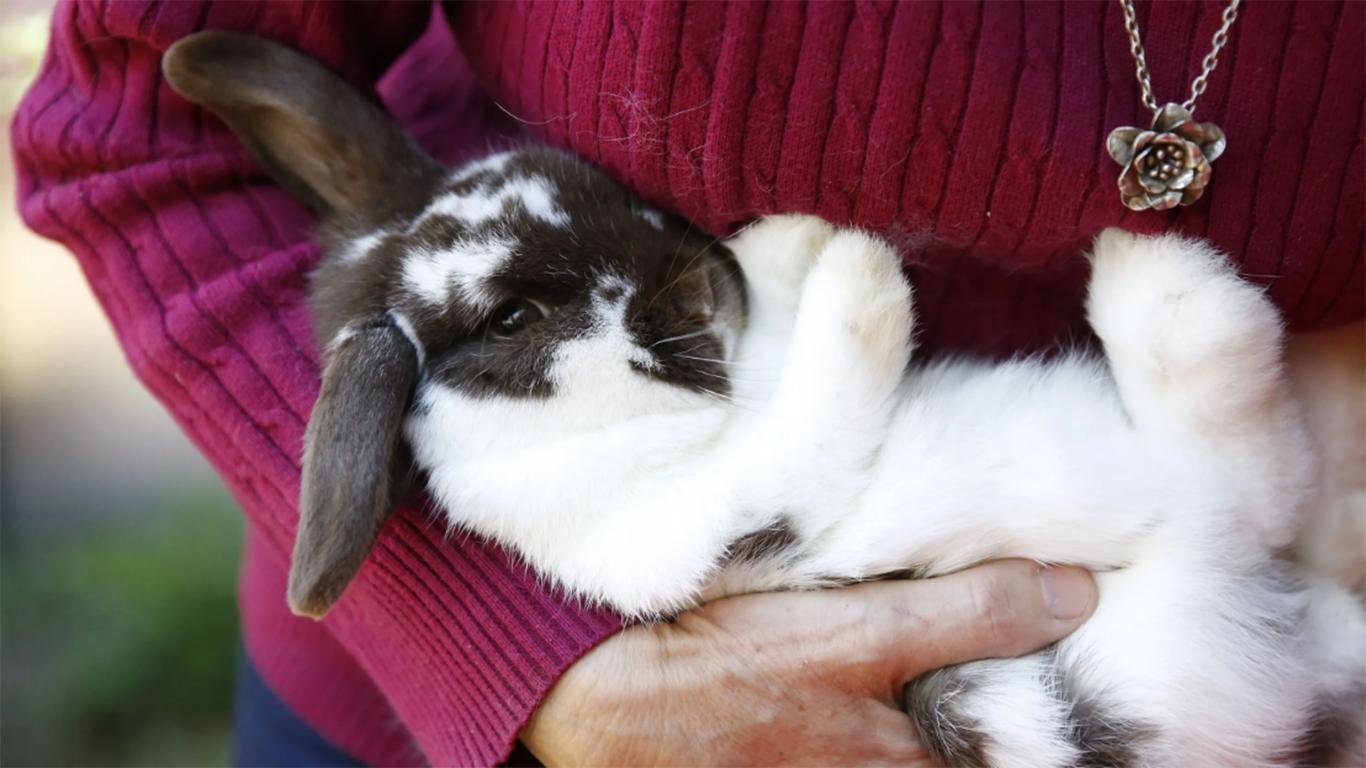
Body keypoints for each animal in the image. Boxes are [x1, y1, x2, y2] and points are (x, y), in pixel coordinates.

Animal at [163, 32, 1363, 768]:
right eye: (509, 319)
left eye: (595, 188)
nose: (699, 271)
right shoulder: (715, 520)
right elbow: (814, 397)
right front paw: (850, 265)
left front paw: (785, 244)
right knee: (1237, 431)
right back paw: (1154, 278)